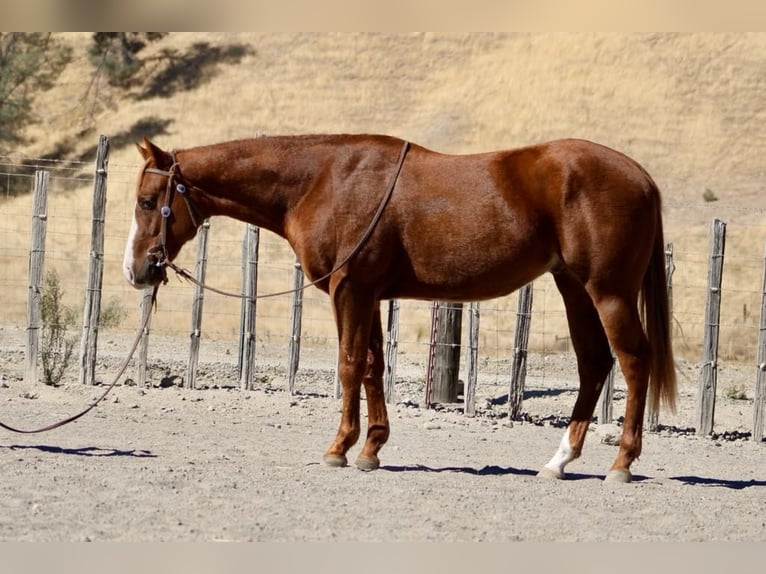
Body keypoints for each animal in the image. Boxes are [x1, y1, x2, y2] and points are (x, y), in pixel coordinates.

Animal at [124, 135, 680, 486]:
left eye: (149, 201)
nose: (137, 270)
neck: (323, 180)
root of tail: (642, 177)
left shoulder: (350, 290)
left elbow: (350, 366)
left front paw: (338, 450)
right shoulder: (368, 293)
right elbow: (372, 366)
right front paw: (370, 450)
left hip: (607, 292)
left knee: (633, 361)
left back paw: (622, 463)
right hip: (573, 288)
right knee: (594, 364)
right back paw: (559, 461)